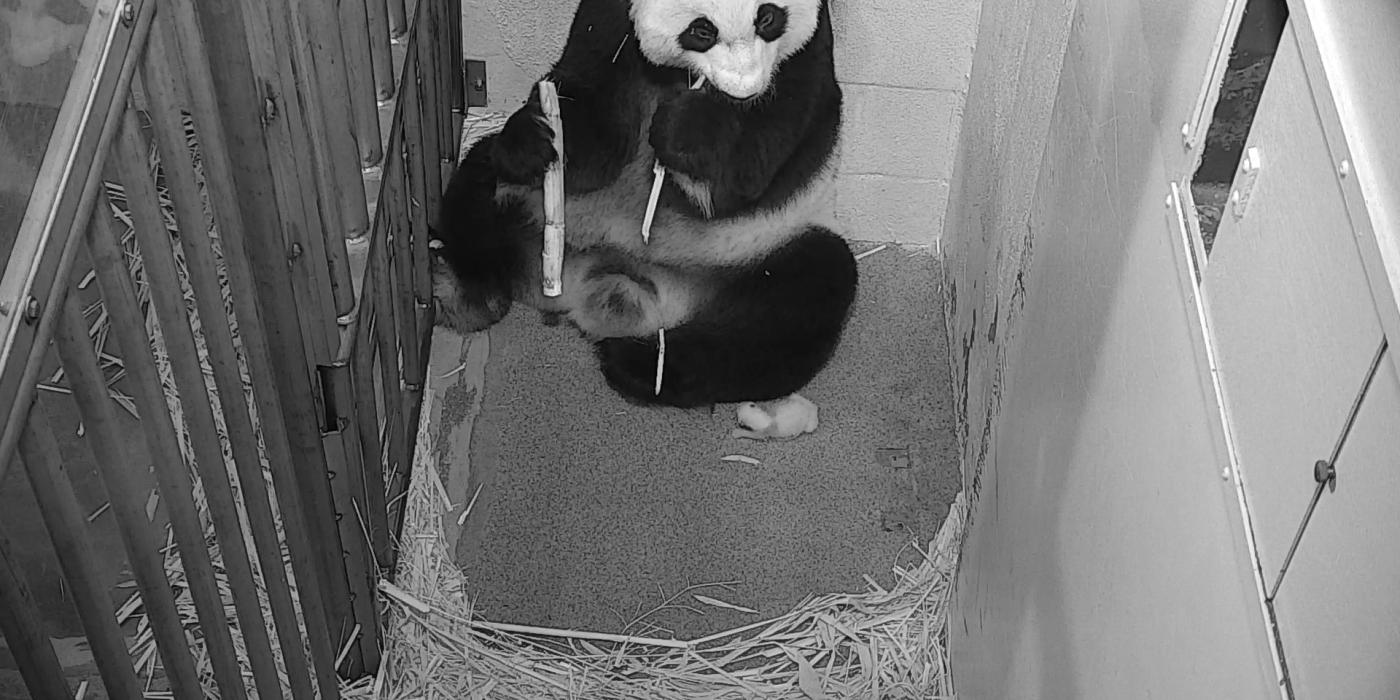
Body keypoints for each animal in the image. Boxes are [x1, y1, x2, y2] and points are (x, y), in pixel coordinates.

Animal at [434, 0, 851, 408]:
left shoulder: (806, 52)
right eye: (702, 30)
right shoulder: (608, 21)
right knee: (480, 187)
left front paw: (688, 129)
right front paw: (537, 134)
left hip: (762, 244)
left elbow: (756, 160)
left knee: (795, 305)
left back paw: (641, 364)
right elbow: (590, 115)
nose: (745, 88)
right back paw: (464, 295)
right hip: (535, 204)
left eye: (767, 17)